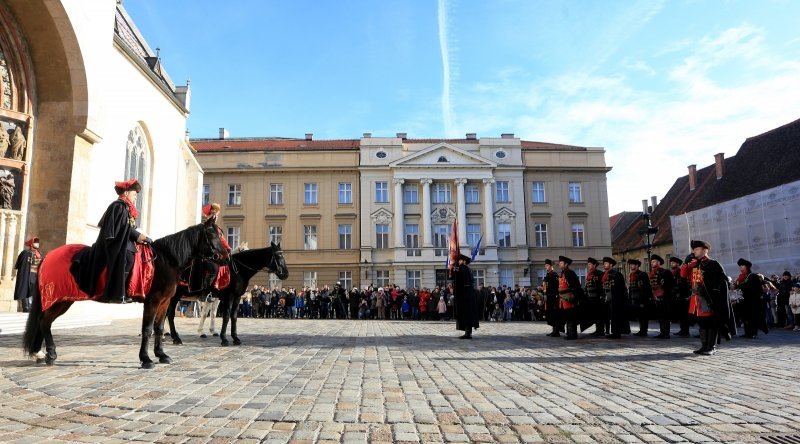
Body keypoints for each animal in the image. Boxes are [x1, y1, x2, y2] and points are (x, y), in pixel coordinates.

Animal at [23, 220, 225, 370]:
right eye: (213, 234)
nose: (227, 254)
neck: (166, 260)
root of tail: (48, 256)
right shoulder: (152, 301)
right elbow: (147, 329)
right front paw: (146, 359)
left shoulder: (165, 302)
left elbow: (159, 328)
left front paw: (161, 355)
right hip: (59, 300)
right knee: (44, 321)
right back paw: (49, 353)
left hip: (64, 301)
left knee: (44, 322)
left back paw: (42, 353)